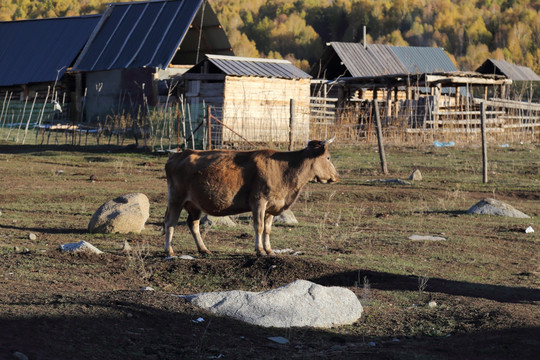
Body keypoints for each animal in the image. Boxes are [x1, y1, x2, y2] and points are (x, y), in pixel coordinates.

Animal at [162, 138, 338, 256]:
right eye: (328, 157)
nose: (336, 176)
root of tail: (179, 154)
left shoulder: (271, 206)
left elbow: (268, 229)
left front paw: (269, 250)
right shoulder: (259, 201)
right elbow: (259, 226)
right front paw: (259, 250)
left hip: (195, 204)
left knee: (193, 224)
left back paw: (204, 249)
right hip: (176, 199)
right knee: (170, 223)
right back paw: (169, 251)